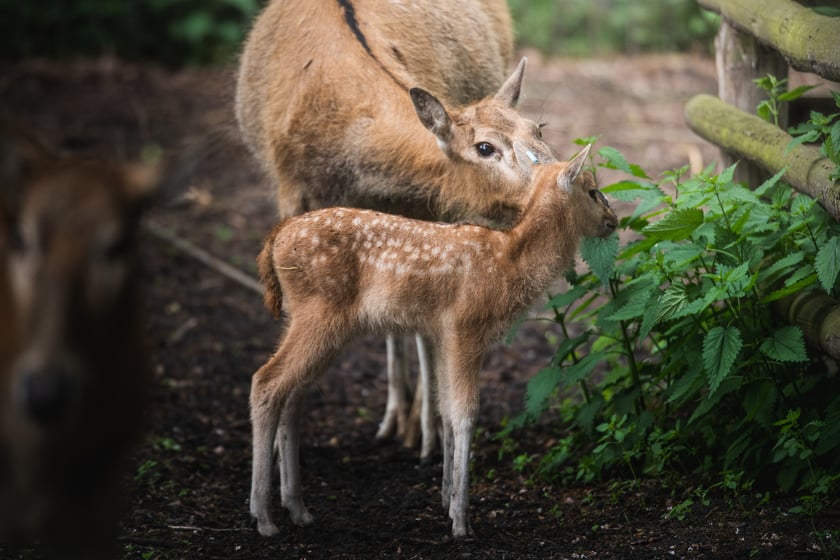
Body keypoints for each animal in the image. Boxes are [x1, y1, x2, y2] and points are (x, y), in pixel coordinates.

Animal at [235, 0, 556, 458]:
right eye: (485, 147)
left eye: (538, 129)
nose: (566, 180)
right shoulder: (292, 192)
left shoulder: (430, 206)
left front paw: (431, 431)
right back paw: (395, 416)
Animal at [249, 144, 616, 540]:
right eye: (592, 190)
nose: (613, 219)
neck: (508, 263)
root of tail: (276, 238)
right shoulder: (466, 327)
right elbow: (465, 413)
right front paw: (461, 519)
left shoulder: (442, 333)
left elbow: (444, 409)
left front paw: (445, 499)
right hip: (319, 315)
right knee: (266, 382)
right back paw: (264, 517)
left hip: (308, 321)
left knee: (292, 395)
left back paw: (298, 509)